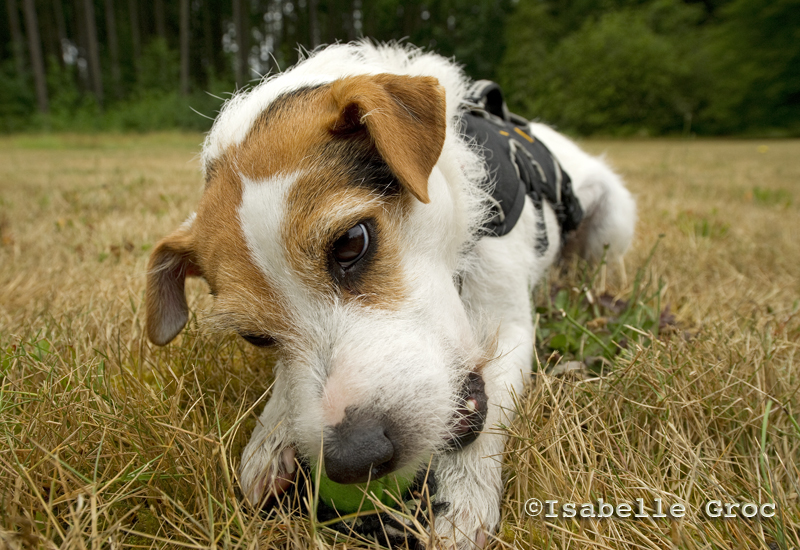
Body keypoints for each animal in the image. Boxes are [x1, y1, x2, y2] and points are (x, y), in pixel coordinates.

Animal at [142, 42, 632, 548]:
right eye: (255, 337)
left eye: (351, 242)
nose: (355, 458)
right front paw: (272, 433)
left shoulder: (508, 322)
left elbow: (492, 403)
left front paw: (461, 497)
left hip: (614, 222)